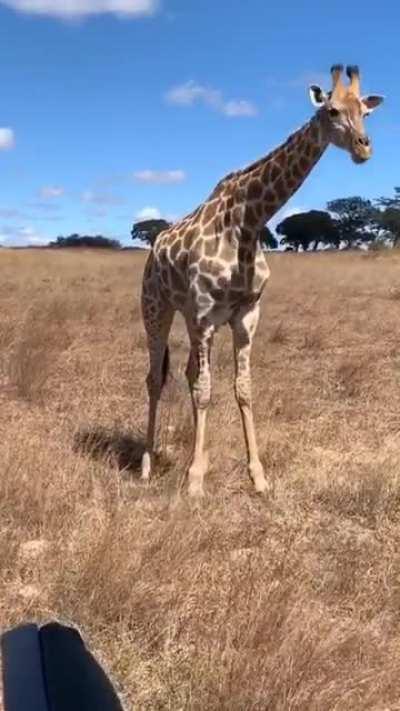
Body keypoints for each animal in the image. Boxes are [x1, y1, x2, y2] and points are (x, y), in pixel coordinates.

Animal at [140, 64, 384, 498]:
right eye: (332, 110)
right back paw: (148, 466)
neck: (249, 221)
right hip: (157, 308)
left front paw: (257, 476)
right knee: (156, 378)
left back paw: (196, 458)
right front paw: (195, 482)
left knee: (187, 375)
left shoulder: (245, 315)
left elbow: (242, 388)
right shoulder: (205, 315)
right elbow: (206, 391)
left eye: (366, 113)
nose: (364, 148)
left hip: (190, 316)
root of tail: (153, 248)